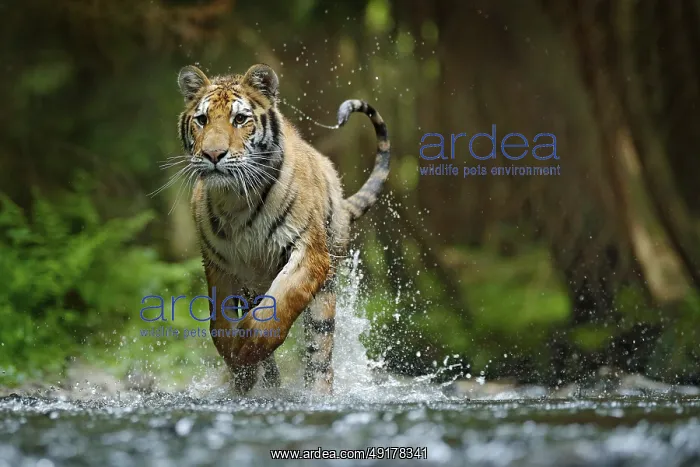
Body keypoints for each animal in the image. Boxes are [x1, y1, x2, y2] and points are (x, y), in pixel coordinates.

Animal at [175, 63, 390, 394]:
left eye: (240, 119)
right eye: (202, 119)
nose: (213, 155)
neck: (236, 200)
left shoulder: (310, 253)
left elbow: (280, 305)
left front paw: (247, 347)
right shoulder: (218, 263)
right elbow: (219, 322)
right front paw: (239, 366)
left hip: (326, 292)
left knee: (320, 357)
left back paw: (316, 393)